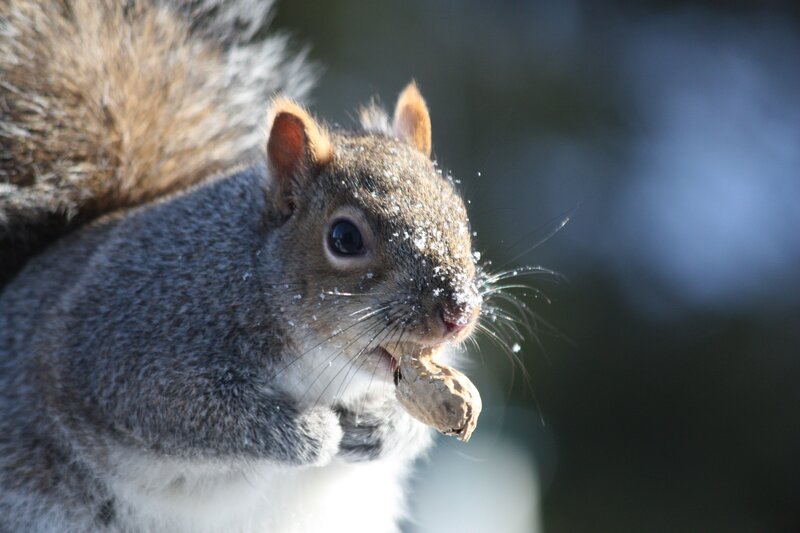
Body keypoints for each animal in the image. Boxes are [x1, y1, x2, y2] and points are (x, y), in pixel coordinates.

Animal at [0, 1, 483, 532]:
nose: (458, 313)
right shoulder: (123, 344)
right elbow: (184, 412)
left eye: (459, 212)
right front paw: (310, 432)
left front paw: (381, 427)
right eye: (344, 238)